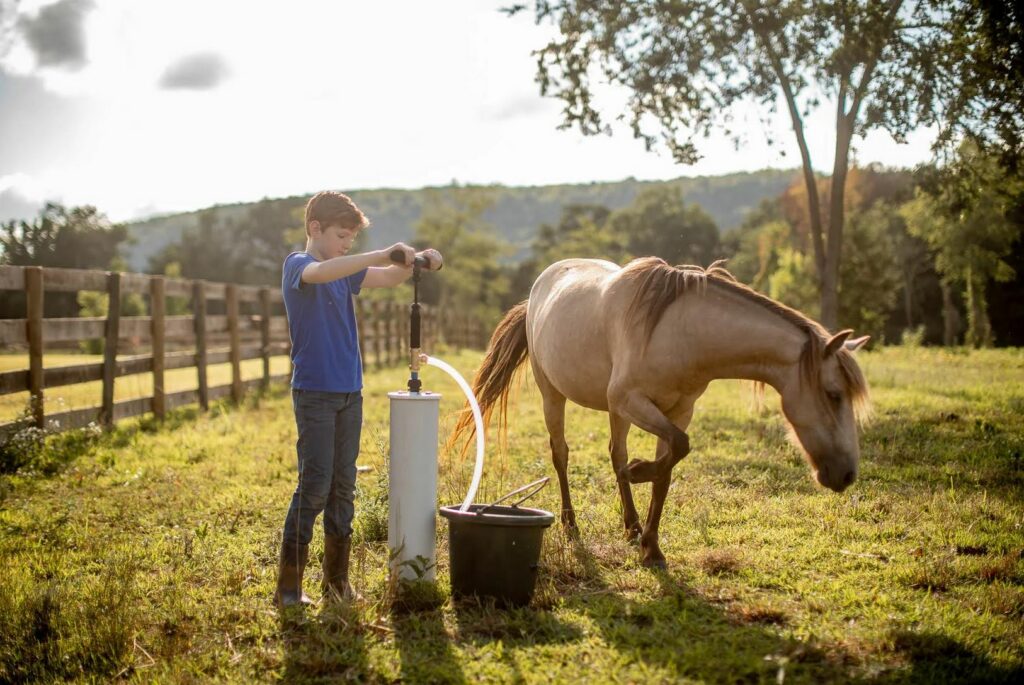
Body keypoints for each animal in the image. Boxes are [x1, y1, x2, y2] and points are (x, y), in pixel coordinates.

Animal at [452, 254, 868, 565]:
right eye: (834, 394)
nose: (846, 474)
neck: (680, 332)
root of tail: (539, 290)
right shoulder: (633, 401)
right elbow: (674, 451)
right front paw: (640, 473)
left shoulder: (678, 410)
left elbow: (668, 468)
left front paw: (651, 545)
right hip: (553, 394)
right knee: (561, 454)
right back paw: (571, 526)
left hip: (614, 410)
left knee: (614, 452)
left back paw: (631, 525)